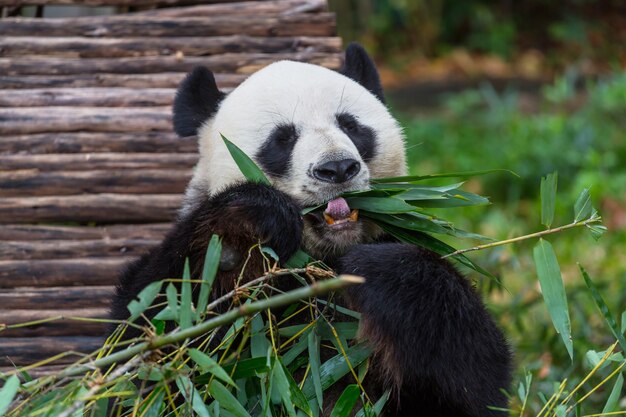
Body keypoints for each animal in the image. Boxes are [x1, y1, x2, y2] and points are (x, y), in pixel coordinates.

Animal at [109, 43, 510, 416]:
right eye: (282, 138)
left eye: (351, 126)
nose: (338, 168)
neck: (321, 260)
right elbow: (153, 344)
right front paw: (246, 232)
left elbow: (475, 377)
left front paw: (379, 268)